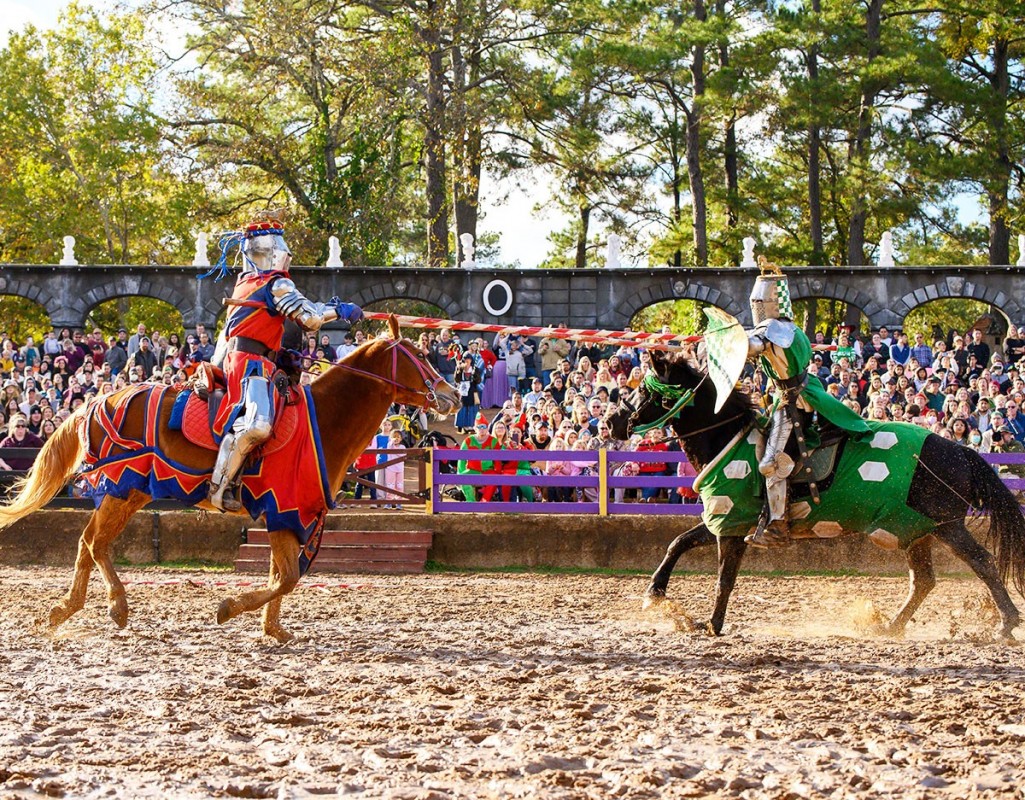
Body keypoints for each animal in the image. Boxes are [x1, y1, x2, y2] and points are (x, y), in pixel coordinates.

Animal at [0, 315, 459, 640]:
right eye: (419, 357)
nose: (452, 395)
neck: (324, 420)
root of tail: (97, 402)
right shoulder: (283, 508)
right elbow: (285, 577)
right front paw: (230, 609)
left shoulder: (294, 516)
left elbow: (283, 576)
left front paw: (273, 629)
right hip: (121, 486)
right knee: (95, 543)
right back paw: (116, 605)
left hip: (129, 492)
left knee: (88, 543)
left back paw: (64, 610)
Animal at [602, 350, 1025, 635]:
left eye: (643, 391)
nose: (610, 422)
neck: (729, 438)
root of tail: (958, 449)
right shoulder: (725, 519)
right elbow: (678, 543)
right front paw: (655, 594)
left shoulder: (731, 525)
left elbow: (724, 577)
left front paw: (712, 623)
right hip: (913, 530)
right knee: (923, 581)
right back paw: (890, 626)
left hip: (946, 525)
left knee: (983, 562)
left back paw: (1006, 623)